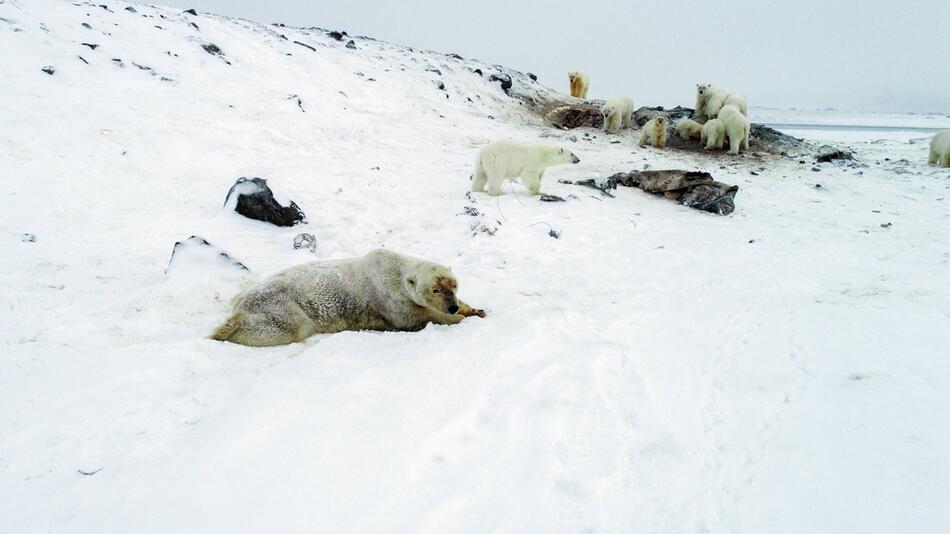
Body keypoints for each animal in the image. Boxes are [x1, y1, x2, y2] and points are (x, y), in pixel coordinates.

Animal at [212, 250, 488, 348]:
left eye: (454, 285)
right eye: (435, 289)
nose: (452, 306)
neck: (394, 269)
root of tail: (240, 299)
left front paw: (474, 309)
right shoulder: (389, 298)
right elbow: (414, 318)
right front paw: (457, 319)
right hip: (280, 304)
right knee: (284, 326)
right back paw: (224, 329)